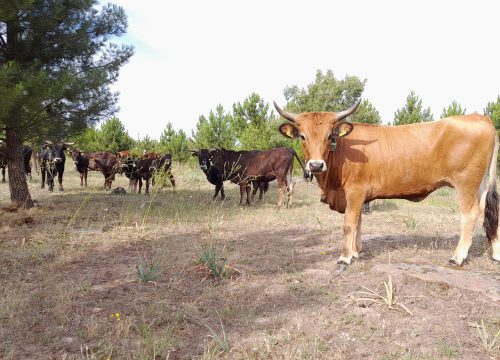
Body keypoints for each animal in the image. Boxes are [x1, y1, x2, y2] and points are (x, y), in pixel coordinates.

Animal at [274, 99, 500, 270]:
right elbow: (358, 222)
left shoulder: (355, 192)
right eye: (303, 137)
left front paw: (345, 258)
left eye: (329, 136)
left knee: (469, 215)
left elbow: (349, 223)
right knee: (488, 211)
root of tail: (480, 117)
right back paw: (495, 254)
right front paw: (356, 252)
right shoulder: (358, 196)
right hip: (480, 184)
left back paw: (458, 257)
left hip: (466, 183)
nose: (316, 165)